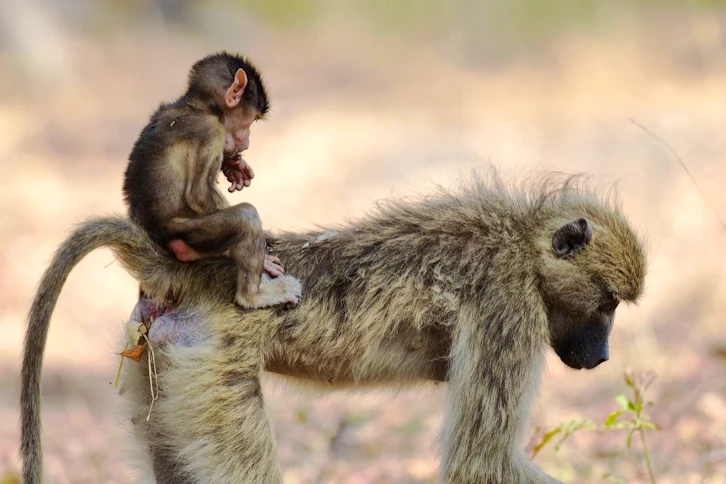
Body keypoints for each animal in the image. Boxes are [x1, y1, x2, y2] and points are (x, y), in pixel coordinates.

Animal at [21, 172, 646, 483]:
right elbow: (480, 463)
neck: (522, 241)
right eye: (607, 304)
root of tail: (190, 272)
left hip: (155, 366)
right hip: (213, 367)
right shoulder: (508, 305)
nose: (601, 355)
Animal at [123, 51, 301, 309]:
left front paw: (234, 167)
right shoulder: (211, 130)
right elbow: (198, 194)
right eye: (252, 120)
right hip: (189, 232)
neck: (199, 107)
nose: (247, 142)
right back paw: (252, 295)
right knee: (245, 216)